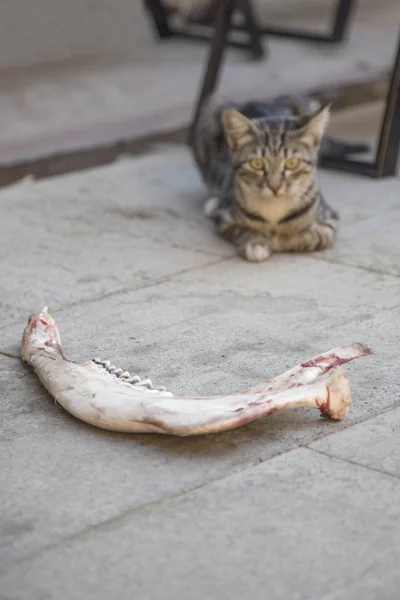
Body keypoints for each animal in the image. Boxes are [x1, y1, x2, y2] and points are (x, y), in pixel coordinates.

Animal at [192, 94, 368, 262]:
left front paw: (278, 239)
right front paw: (256, 242)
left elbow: (312, 237)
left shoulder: (329, 220)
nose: (274, 187)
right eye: (256, 163)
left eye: (292, 163)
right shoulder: (224, 218)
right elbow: (241, 231)